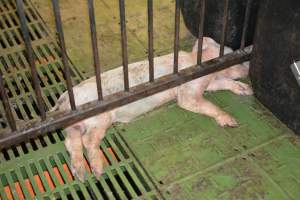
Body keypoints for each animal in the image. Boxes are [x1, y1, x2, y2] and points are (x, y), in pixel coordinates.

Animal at [52, 36, 253, 180]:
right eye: (234, 57)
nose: (248, 67)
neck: (196, 62)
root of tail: (63, 100)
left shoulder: (207, 83)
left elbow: (222, 83)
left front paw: (247, 90)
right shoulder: (188, 92)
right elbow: (197, 103)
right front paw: (232, 122)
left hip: (74, 126)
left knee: (71, 142)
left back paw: (80, 174)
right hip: (100, 119)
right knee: (88, 140)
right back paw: (98, 171)